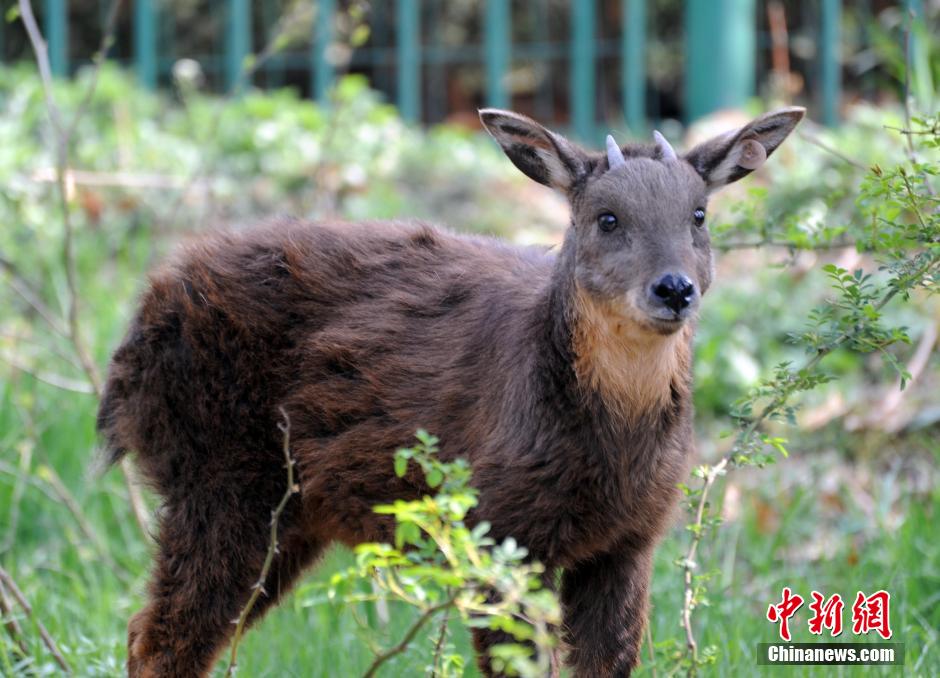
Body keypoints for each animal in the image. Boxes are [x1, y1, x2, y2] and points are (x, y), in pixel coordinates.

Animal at [95, 109, 804, 676]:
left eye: (698, 214)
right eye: (607, 218)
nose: (674, 288)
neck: (611, 450)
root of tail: (133, 342)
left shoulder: (629, 541)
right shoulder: (499, 529)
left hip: (288, 515)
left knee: (152, 632)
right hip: (219, 482)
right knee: (159, 641)